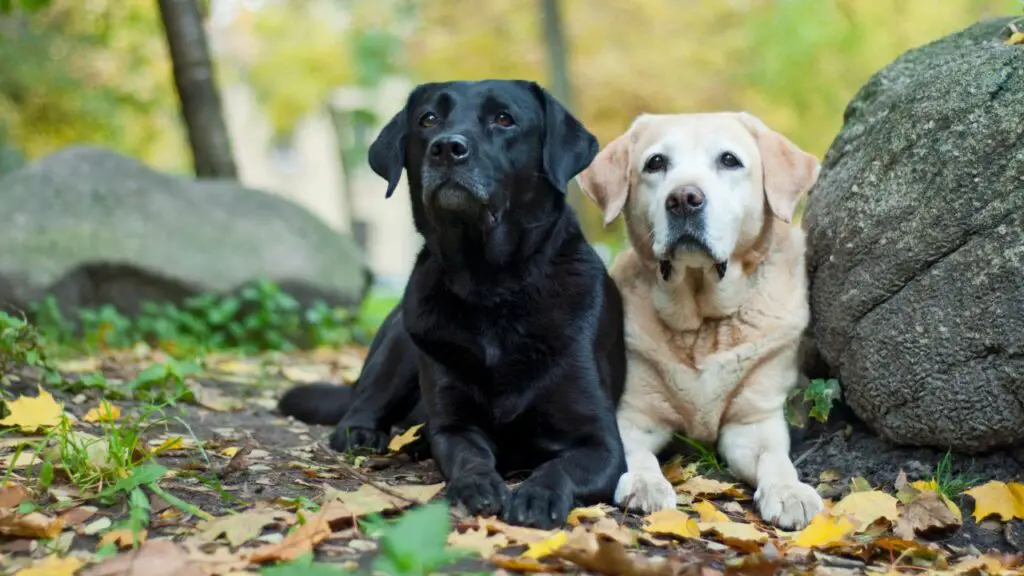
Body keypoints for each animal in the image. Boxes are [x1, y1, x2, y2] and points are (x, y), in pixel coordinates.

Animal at [284, 78, 626, 528]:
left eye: (504, 119)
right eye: (428, 119)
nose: (447, 148)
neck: (492, 288)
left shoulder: (602, 443)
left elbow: (560, 466)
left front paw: (537, 495)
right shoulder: (453, 425)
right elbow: (469, 456)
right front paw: (475, 485)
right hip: (401, 342)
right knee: (360, 407)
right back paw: (366, 432)